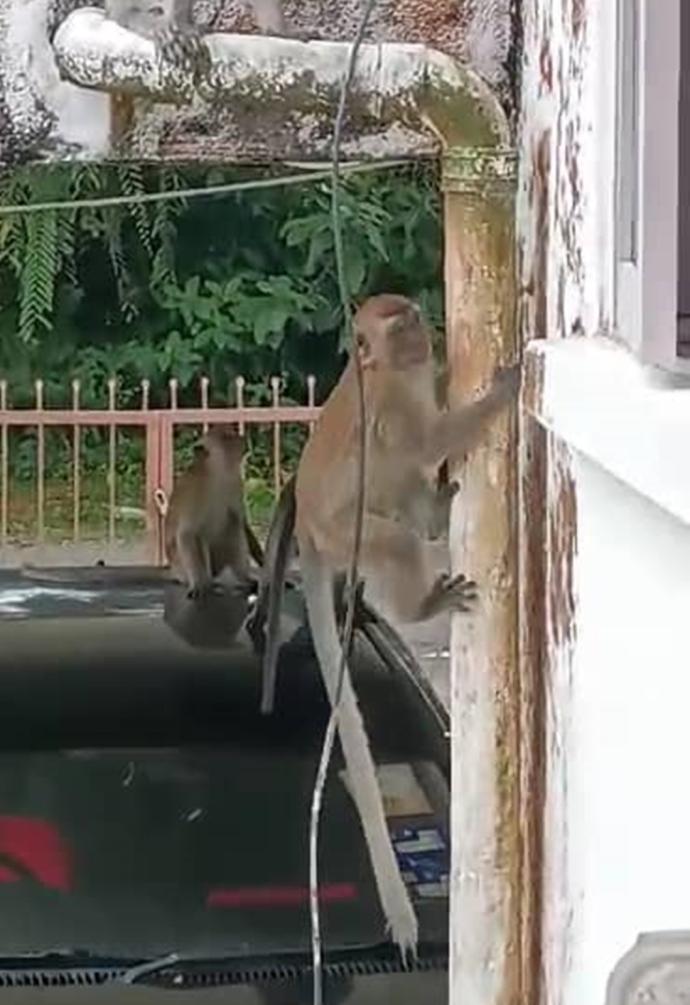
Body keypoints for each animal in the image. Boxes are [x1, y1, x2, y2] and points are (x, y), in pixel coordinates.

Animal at [165, 422, 263, 594]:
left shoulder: (236, 483)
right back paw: (206, 581)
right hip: (180, 567)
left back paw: (243, 578)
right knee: (200, 537)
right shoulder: (195, 491)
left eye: (232, 434)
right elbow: (187, 533)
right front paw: (198, 583)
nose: (242, 439)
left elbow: (242, 522)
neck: (218, 474)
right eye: (226, 437)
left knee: (233, 526)